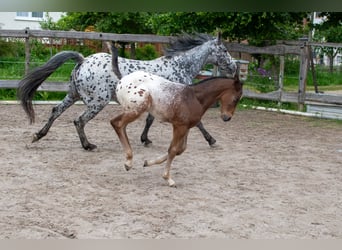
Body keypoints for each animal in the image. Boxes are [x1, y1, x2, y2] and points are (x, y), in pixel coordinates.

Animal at [17, 33, 236, 150]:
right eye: (225, 50)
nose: (234, 67)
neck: (180, 67)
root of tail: (83, 60)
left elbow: (149, 120)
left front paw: (145, 139)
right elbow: (198, 122)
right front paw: (212, 140)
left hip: (73, 95)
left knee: (55, 111)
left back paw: (38, 135)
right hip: (98, 101)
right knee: (79, 120)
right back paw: (88, 146)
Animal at [110, 44, 243, 187]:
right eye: (236, 98)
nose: (227, 117)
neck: (195, 98)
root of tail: (122, 79)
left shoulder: (186, 127)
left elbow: (179, 149)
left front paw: (148, 163)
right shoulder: (179, 126)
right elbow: (173, 150)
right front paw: (167, 178)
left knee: (120, 125)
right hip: (137, 109)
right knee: (117, 123)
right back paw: (128, 162)